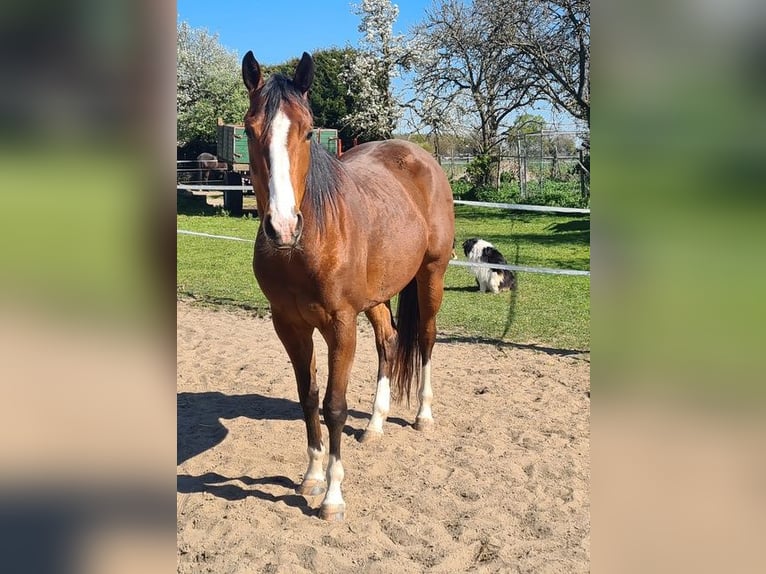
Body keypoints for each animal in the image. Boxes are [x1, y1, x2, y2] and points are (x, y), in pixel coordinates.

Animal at [241, 51, 455, 521]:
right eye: (249, 129)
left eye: (307, 131)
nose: (282, 226)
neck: (305, 246)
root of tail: (421, 157)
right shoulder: (289, 326)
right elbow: (308, 398)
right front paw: (312, 475)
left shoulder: (340, 325)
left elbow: (334, 407)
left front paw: (333, 497)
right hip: (377, 296)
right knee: (389, 342)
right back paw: (375, 424)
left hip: (431, 275)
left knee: (426, 338)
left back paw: (423, 415)